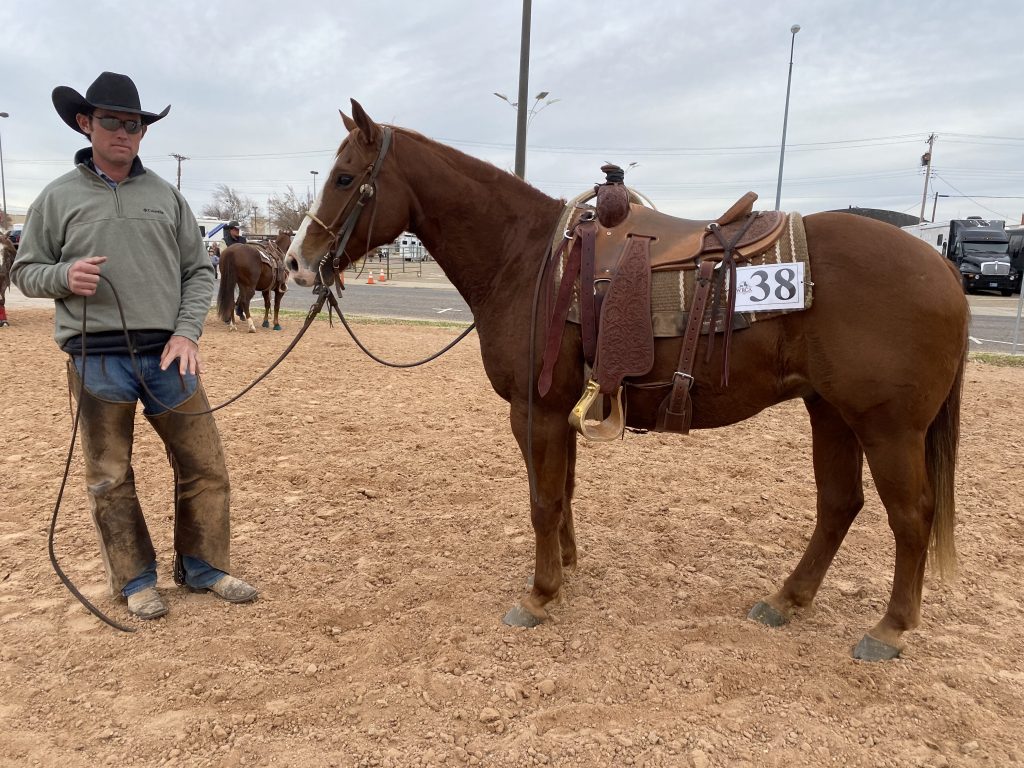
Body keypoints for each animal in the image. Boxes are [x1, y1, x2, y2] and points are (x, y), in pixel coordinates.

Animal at [286, 101, 969, 661]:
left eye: (345, 178)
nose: (295, 261)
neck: (526, 259)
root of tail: (942, 272)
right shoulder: (561, 411)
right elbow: (562, 493)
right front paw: (566, 567)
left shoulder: (534, 410)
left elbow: (542, 499)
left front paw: (539, 595)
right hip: (830, 412)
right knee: (839, 505)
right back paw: (787, 599)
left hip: (887, 428)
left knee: (910, 516)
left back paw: (889, 629)